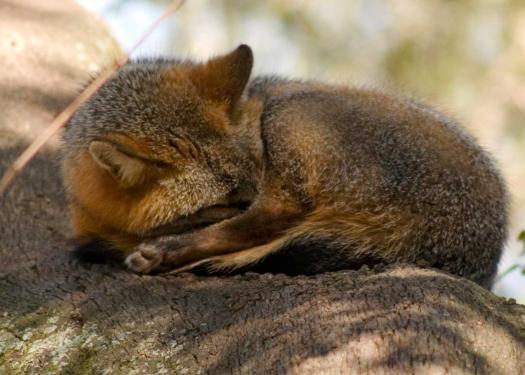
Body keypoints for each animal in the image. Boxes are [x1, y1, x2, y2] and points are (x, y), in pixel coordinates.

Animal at [62, 44, 508, 288]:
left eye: (259, 165)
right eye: (220, 203)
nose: (250, 200)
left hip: (289, 115)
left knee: (276, 217)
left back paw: (166, 254)